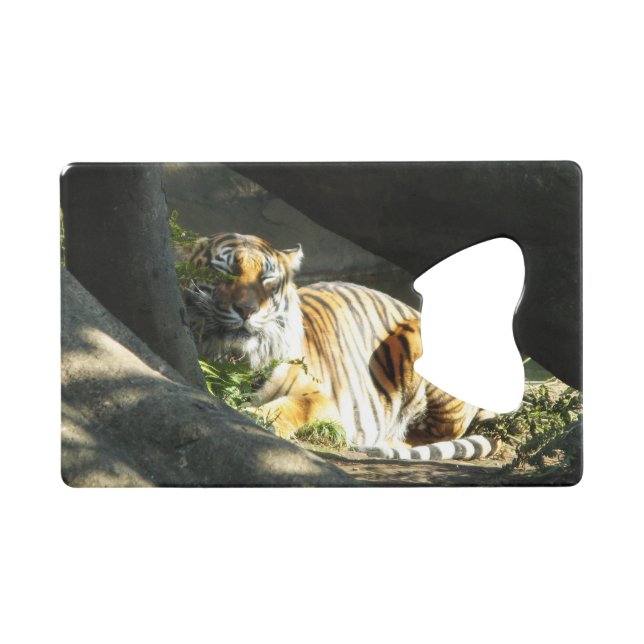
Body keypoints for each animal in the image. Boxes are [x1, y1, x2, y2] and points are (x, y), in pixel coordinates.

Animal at [182, 232, 496, 461]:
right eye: (224, 273)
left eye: (267, 278)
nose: (247, 310)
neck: (236, 359)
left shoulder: (324, 397)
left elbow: (294, 405)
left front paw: (257, 418)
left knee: (438, 431)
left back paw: (385, 442)